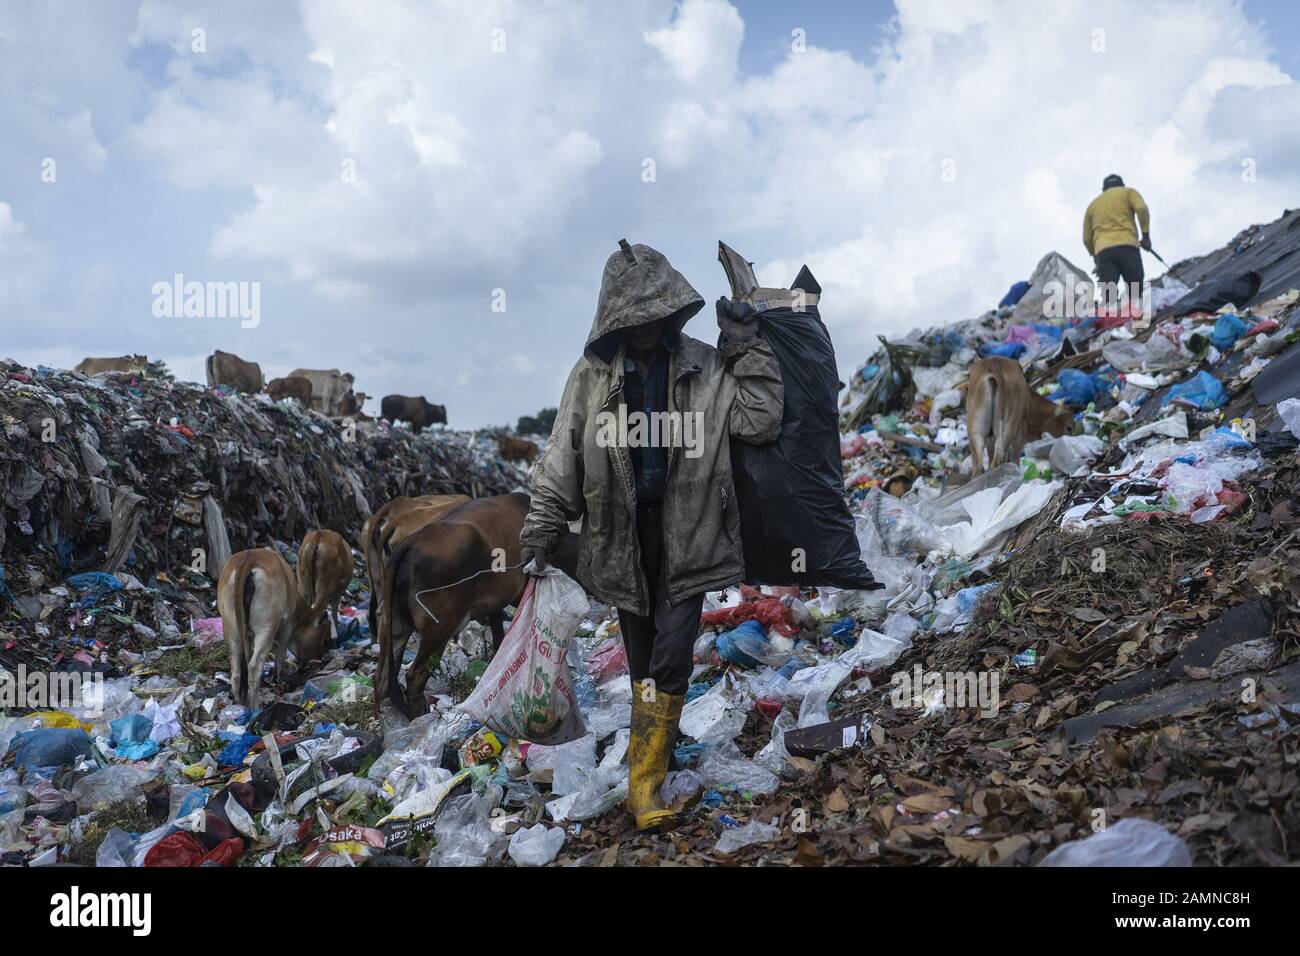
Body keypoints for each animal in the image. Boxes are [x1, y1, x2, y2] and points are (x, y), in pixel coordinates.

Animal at [218, 546, 330, 712]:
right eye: (325, 640)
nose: (317, 660)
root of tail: (247, 559)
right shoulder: (287, 624)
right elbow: (281, 651)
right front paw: (280, 677)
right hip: (266, 629)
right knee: (254, 667)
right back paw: (255, 706)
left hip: (231, 629)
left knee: (237, 673)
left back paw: (239, 702)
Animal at [377, 494, 579, 717]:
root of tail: (408, 546)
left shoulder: (495, 606)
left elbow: (499, 638)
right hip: (439, 629)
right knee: (415, 676)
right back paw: (419, 716)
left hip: (392, 625)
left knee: (383, 679)